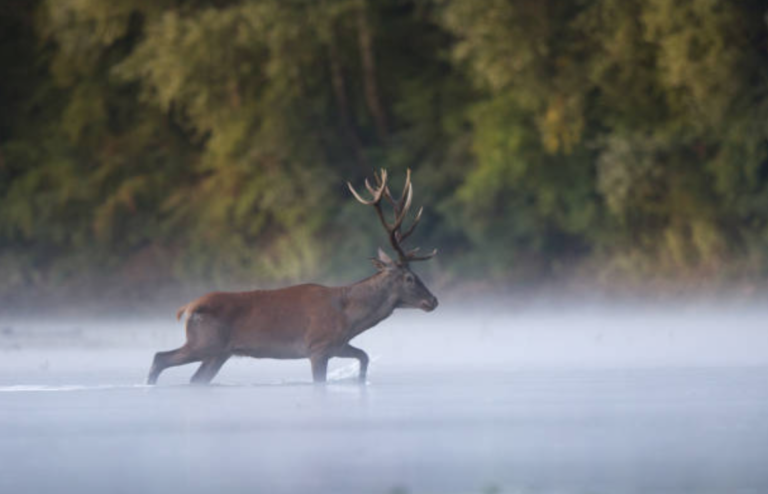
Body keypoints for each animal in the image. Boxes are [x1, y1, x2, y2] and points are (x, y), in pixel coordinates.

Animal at [147, 169, 438, 385]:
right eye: (410, 278)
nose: (433, 301)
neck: (349, 316)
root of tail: (187, 307)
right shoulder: (317, 347)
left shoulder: (337, 345)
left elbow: (364, 356)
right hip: (204, 342)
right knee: (160, 358)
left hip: (220, 353)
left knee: (195, 379)